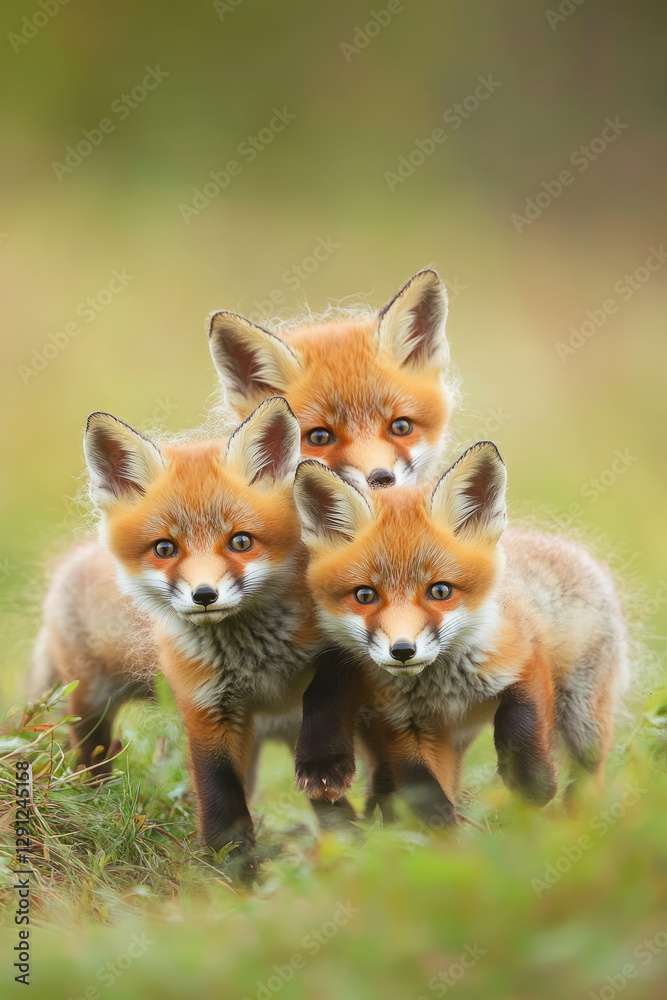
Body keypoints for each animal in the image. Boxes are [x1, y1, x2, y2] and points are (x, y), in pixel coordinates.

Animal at [291, 443, 631, 824]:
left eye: (440, 591)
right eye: (365, 595)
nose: (403, 651)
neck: (445, 687)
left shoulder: (525, 661)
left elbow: (521, 727)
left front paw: (531, 785)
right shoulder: (402, 722)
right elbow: (426, 791)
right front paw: (443, 830)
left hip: (583, 718)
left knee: (589, 772)